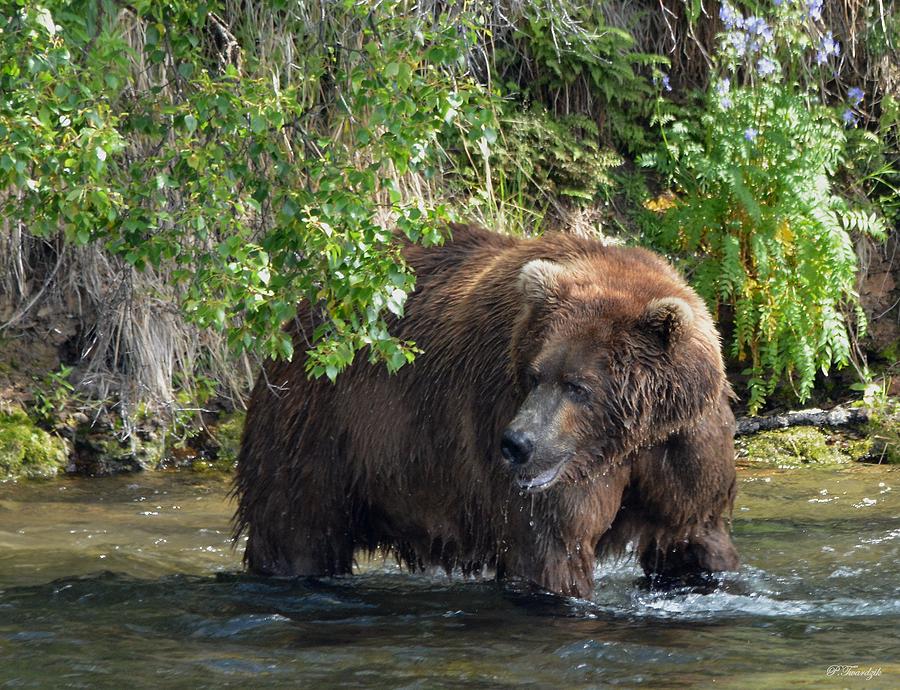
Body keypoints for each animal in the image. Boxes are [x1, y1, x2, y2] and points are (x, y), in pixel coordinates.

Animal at [232, 222, 740, 596]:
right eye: (535, 375)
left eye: (579, 386)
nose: (517, 444)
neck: (625, 442)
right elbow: (551, 550)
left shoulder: (686, 445)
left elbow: (693, 535)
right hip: (319, 429)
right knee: (296, 526)